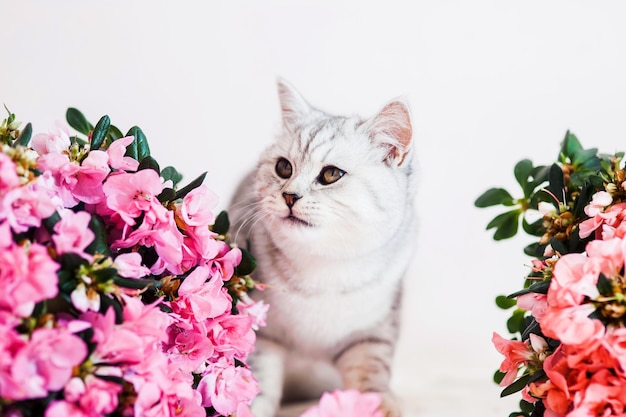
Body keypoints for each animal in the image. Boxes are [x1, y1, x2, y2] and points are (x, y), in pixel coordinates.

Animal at [227, 79, 416, 416]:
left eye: (331, 174)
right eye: (283, 167)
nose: (289, 195)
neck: (323, 269)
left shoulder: (373, 331)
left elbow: (371, 370)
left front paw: (379, 404)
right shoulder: (261, 331)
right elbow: (257, 376)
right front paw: (250, 406)